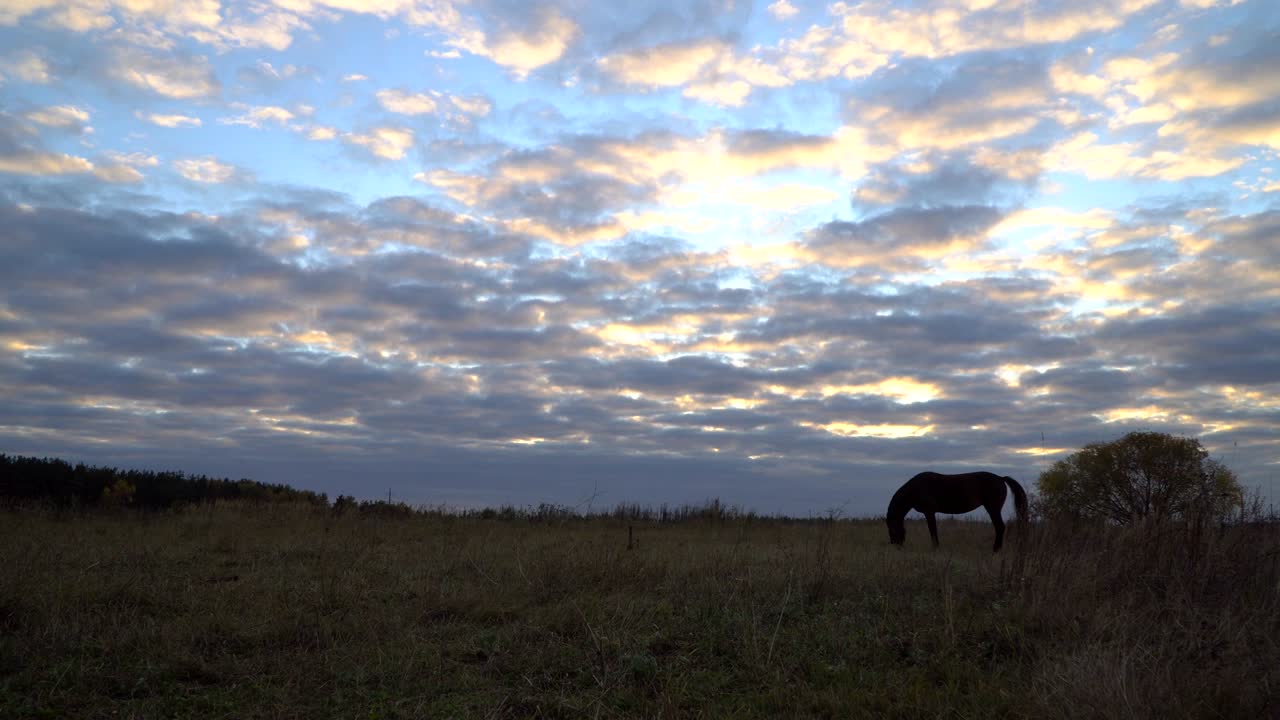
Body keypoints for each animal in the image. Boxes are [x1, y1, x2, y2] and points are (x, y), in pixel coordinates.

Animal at [886, 471, 1028, 552]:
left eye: (892, 527)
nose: (896, 545)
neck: (916, 488)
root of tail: (1001, 478)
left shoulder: (929, 512)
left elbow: (933, 530)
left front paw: (935, 548)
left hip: (993, 509)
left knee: (1000, 527)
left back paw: (995, 550)